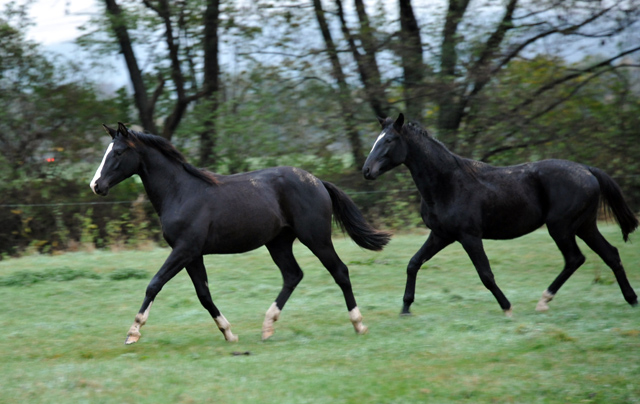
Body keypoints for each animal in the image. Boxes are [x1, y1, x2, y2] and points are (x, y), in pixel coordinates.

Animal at [362, 113, 636, 316]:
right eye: (377, 139)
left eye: (389, 140)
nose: (366, 171)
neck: (447, 183)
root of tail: (588, 170)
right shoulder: (441, 235)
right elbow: (413, 263)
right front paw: (405, 308)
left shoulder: (469, 236)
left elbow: (485, 274)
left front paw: (507, 308)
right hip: (585, 226)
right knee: (610, 254)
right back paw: (631, 299)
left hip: (561, 228)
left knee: (575, 258)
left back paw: (543, 301)